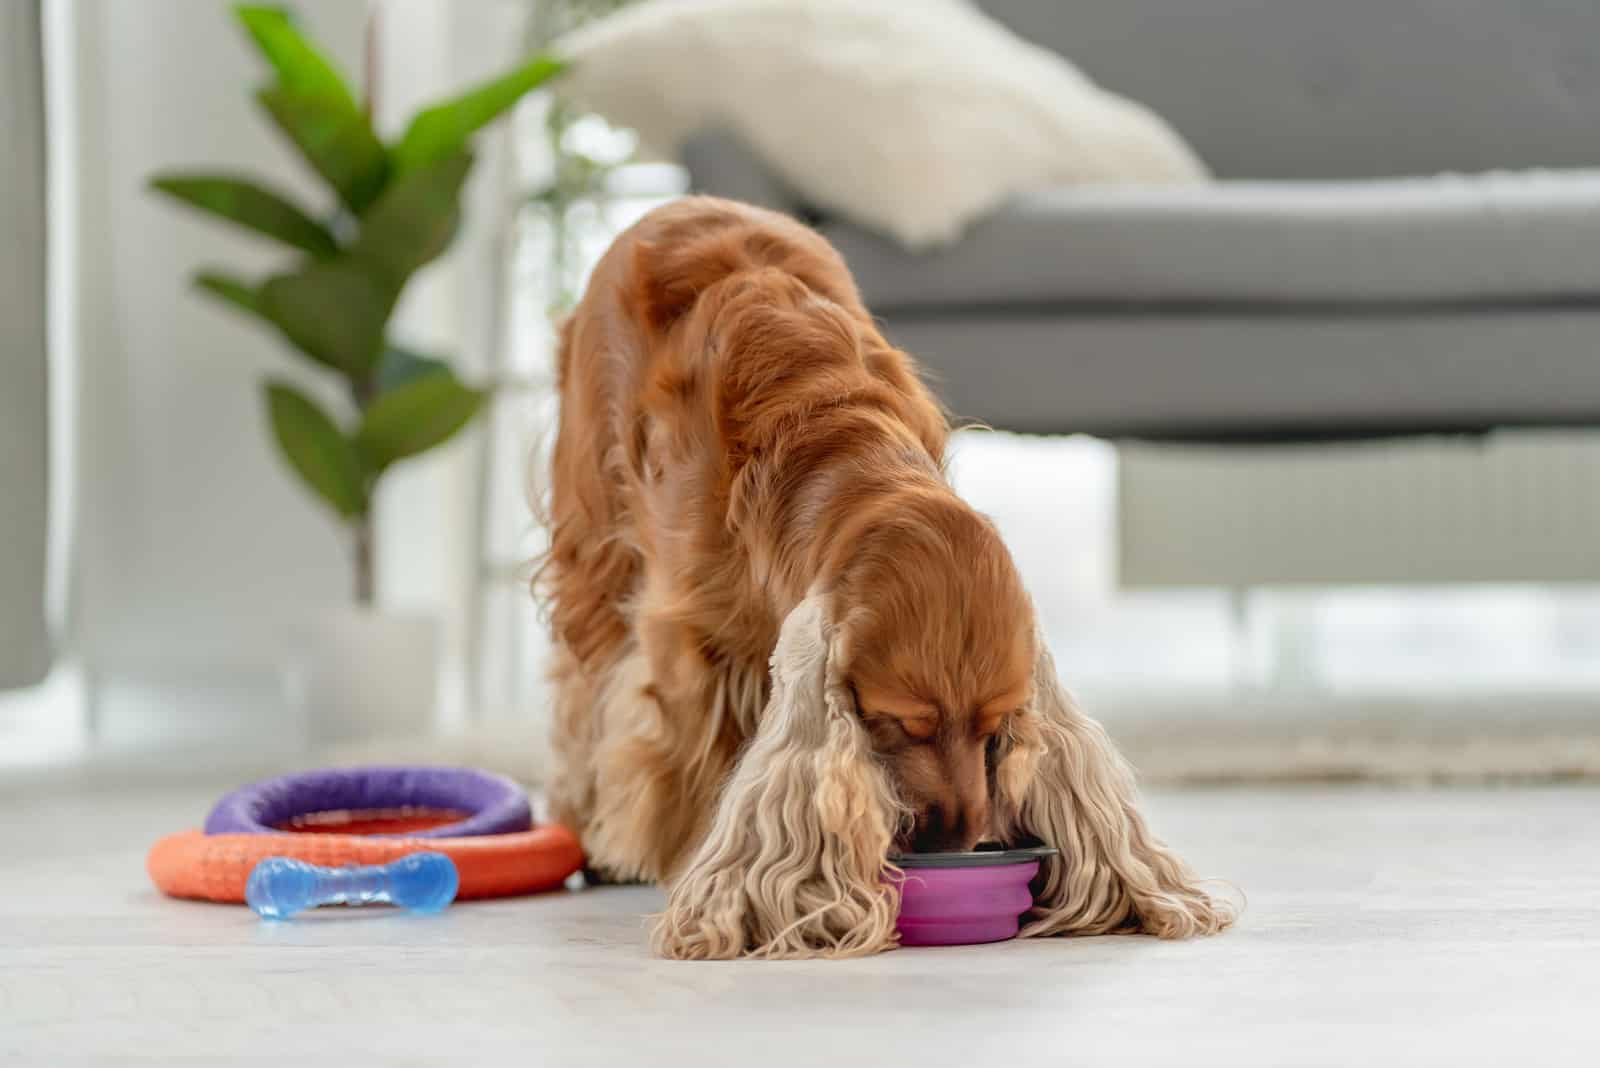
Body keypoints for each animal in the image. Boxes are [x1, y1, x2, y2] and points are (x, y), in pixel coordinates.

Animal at [537, 194, 1235, 959]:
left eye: (996, 726)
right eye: (902, 723)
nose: (956, 841)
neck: (836, 449)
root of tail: (682, 204)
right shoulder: (688, 639)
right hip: (596, 547)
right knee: (582, 691)